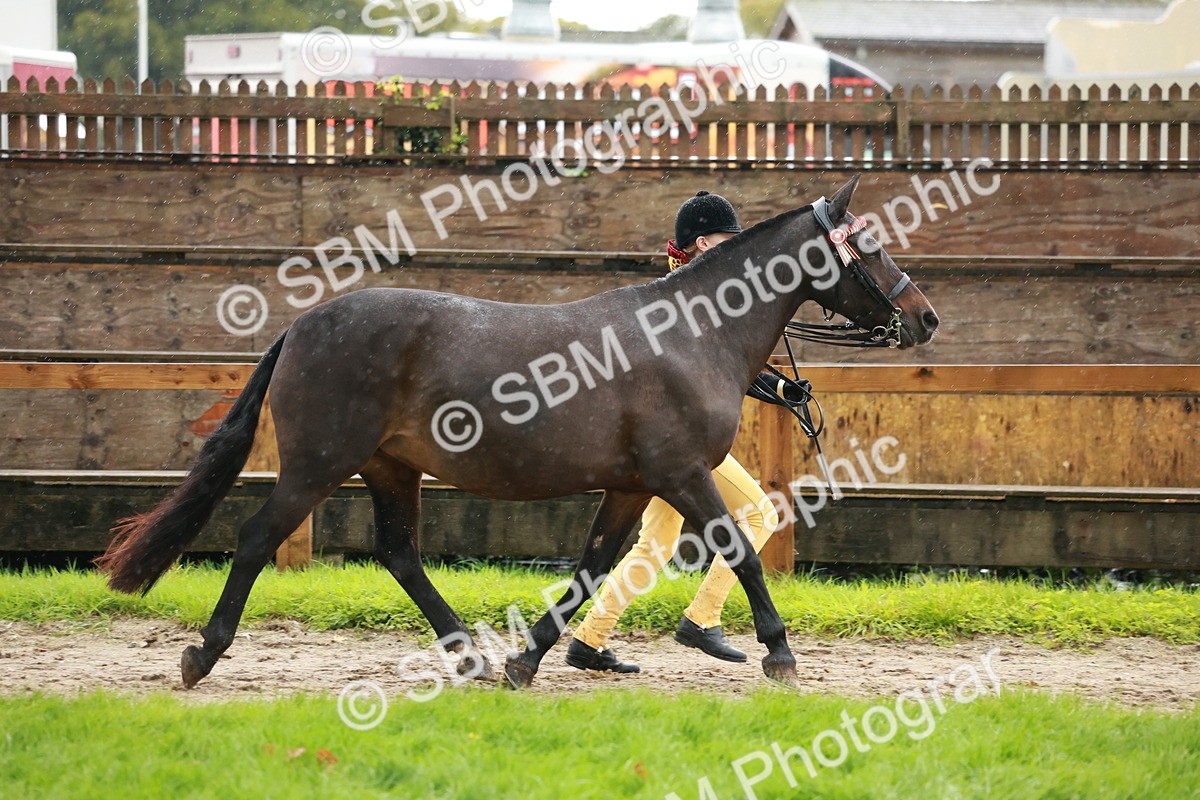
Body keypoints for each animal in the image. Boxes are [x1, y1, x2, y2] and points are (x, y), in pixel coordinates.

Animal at [96, 175, 939, 690]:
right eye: (868, 243)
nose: (924, 317)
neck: (691, 333)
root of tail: (303, 325)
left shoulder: (633, 485)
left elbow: (593, 569)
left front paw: (527, 661)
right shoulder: (681, 475)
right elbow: (740, 552)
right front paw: (780, 652)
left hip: (390, 467)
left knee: (399, 553)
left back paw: (470, 655)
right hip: (319, 465)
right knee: (256, 540)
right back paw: (202, 654)